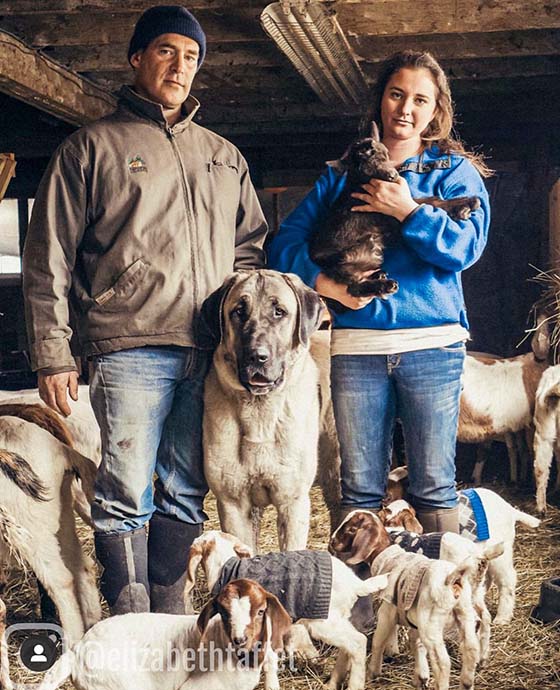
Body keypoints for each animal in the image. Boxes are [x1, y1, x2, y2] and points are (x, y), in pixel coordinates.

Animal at [0, 416, 101, 644]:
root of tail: (61, 449)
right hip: (60, 520)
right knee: (83, 567)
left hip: (30, 525)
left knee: (61, 580)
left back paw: (72, 641)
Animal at [200, 268, 324, 548]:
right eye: (238, 311)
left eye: (279, 311)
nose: (257, 356)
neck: (261, 411)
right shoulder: (233, 504)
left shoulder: (293, 503)